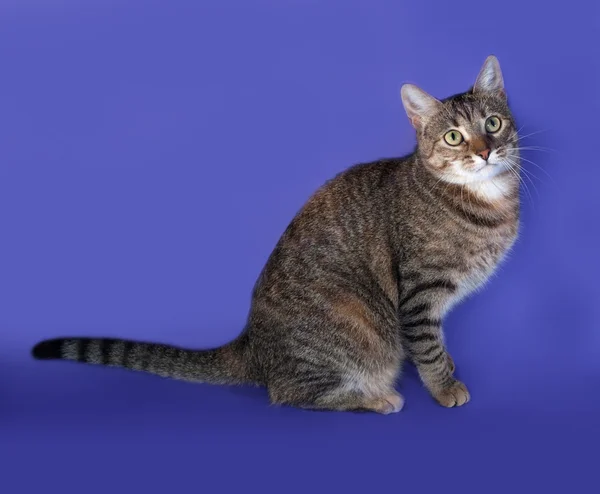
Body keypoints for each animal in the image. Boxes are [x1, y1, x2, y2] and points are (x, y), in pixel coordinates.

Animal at [31, 56, 520, 412]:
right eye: (454, 137)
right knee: (290, 395)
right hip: (352, 330)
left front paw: (447, 364)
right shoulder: (419, 293)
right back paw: (375, 398)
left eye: (492, 124)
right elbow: (427, 345)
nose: (485, 151)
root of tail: (251, 344)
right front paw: (443, 385)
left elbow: (436, 341)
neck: (484, 202)